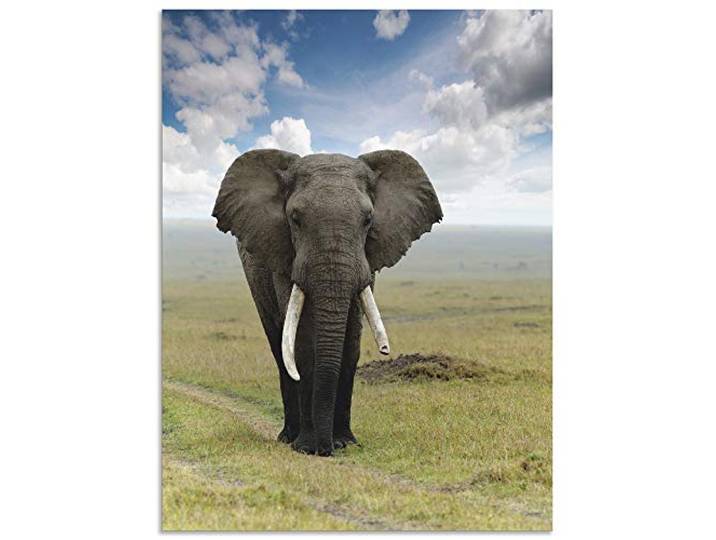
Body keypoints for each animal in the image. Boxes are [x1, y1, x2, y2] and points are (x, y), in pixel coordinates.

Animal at [212, 149, 442, 456]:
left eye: (368, 220)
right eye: (295, 219)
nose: (326, 449)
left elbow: (351, 340)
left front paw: (345, 442)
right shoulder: (284, 257)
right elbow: (301, 342)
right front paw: (307, 447)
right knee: (279, 346)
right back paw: (288, 437)